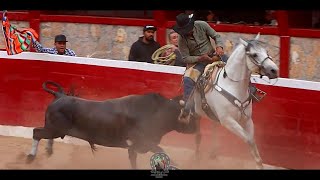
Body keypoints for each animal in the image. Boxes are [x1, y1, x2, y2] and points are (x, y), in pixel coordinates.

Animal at [26, 81, 200, 168]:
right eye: (189, 115)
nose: (197, 129)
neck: (157, 113)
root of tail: (60, 95)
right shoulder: (141, 144)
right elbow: (161, 152)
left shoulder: (139, 147)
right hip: (54, 129)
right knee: (36, 132)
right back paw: (30, 157)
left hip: (55, 129)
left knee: (45, 135)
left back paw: (48, 151)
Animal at [191, 33, 278, 169]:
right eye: (254, 54)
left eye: (266, 51)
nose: (274, 70)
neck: (233, 86)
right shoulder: (228, 121)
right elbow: (248, 139)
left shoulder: (247, 120)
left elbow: (252, 141)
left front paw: (259, 164)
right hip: (196, 114)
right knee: (198, 134)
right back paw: (197, 157)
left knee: (213, 128)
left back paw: (213, 154)